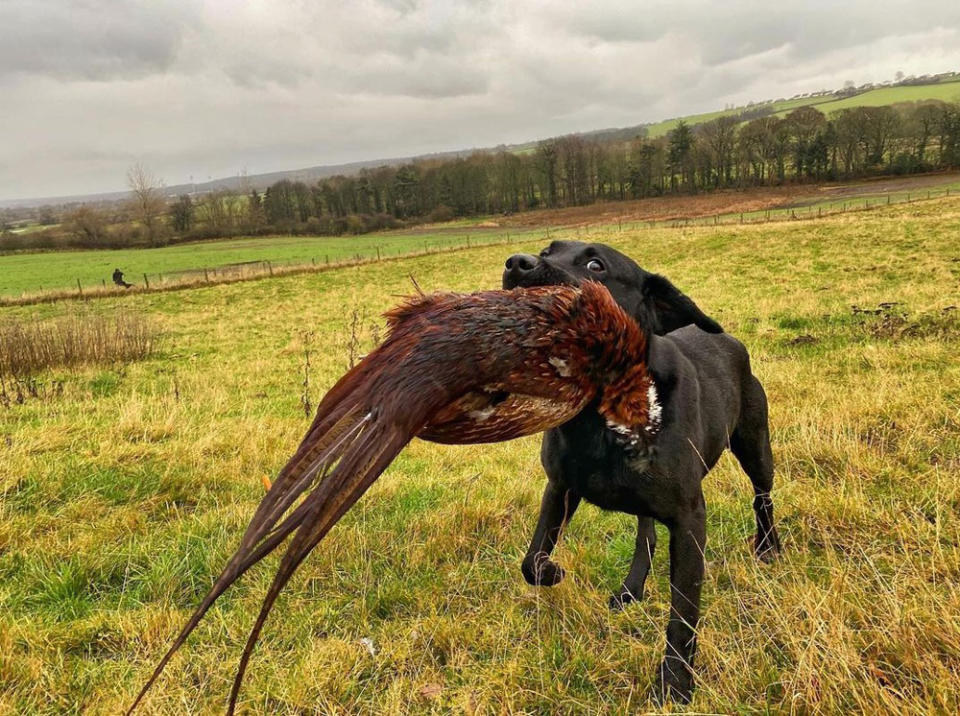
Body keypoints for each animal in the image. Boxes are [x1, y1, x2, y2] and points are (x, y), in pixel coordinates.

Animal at [502, 242, 780, 704]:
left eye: (595, 265)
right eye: (547, 250)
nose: (516, 263)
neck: (598, 414)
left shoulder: (689, 518)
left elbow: (683, 611)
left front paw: (676, 684)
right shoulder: (560, 488)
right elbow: (532, 559)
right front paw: (554, 571)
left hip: (755, 447)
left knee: (763, 498)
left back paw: (770, 547)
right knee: (645, 532)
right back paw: (631, 587)